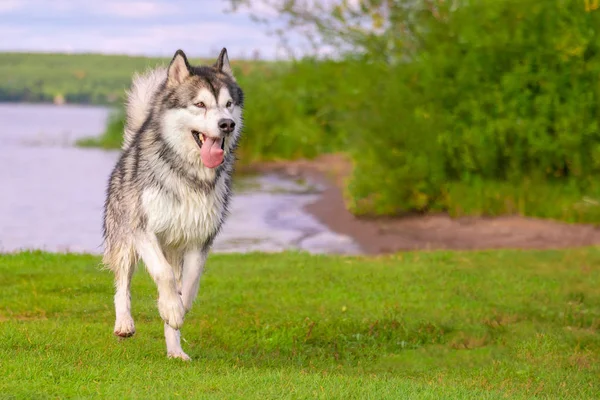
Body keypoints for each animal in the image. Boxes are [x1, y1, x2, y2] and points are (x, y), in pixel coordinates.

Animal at [102, 47, 244, 360]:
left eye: (228, 104)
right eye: (200, 104)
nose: (227, 124)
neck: (189, 174)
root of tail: (129, 147)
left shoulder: (200, 240)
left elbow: (187, 286)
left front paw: (176, 309)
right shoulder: (143, 230)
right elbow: (163, 274)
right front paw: (170, 307)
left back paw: (175, 350)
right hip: (125, 240)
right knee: (122, 285)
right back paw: (124, 323)